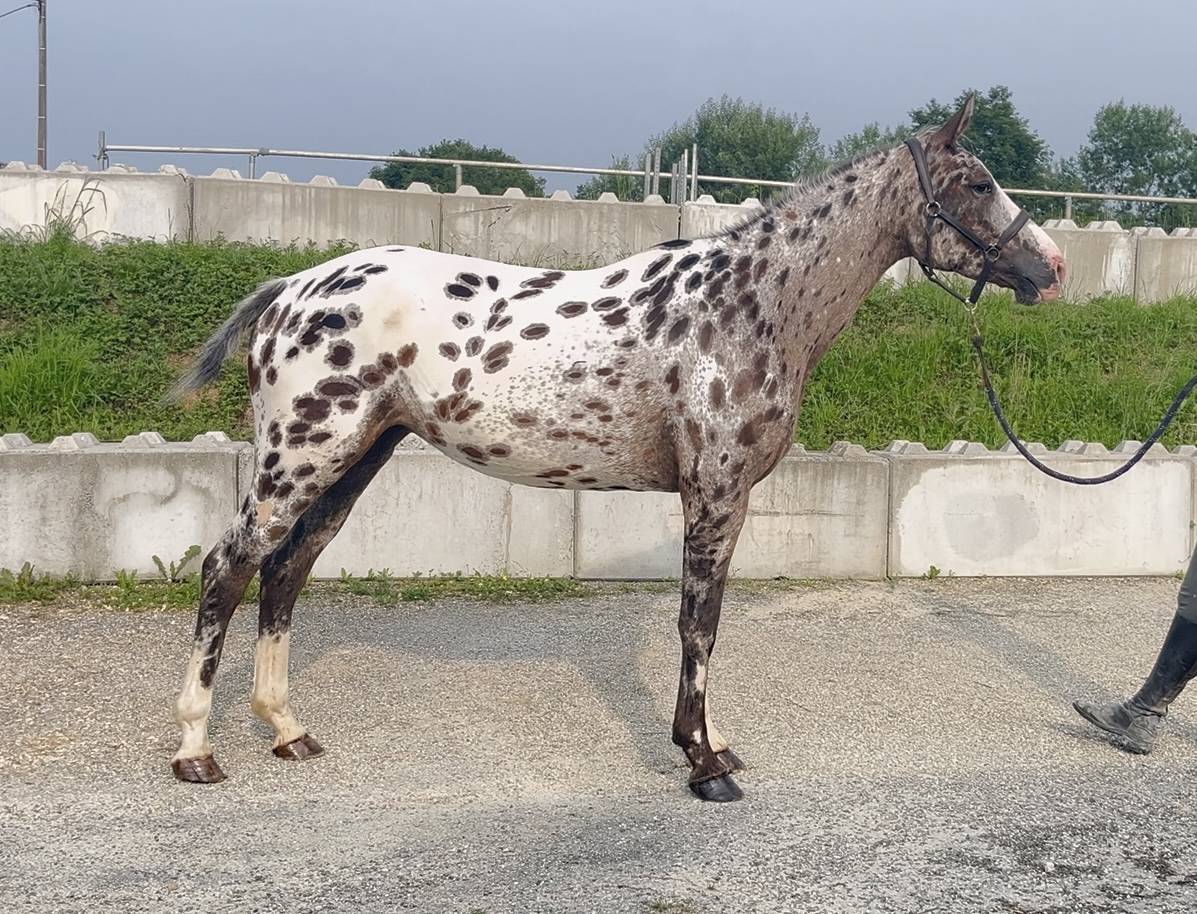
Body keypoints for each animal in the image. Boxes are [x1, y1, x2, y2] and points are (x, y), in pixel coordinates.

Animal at [166, 96, 1065, 802]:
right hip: (299, 456)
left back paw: (287, 730)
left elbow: (707, 620)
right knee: (229, 568)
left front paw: (712, 741)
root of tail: (288, 290)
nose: (1050, 267)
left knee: (286, 571)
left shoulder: (725, 497)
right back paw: (196, 751)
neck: (748, 306)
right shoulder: (715, 489)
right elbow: (697, 623)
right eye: (976, 182)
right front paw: (703, 763)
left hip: (355, 458)